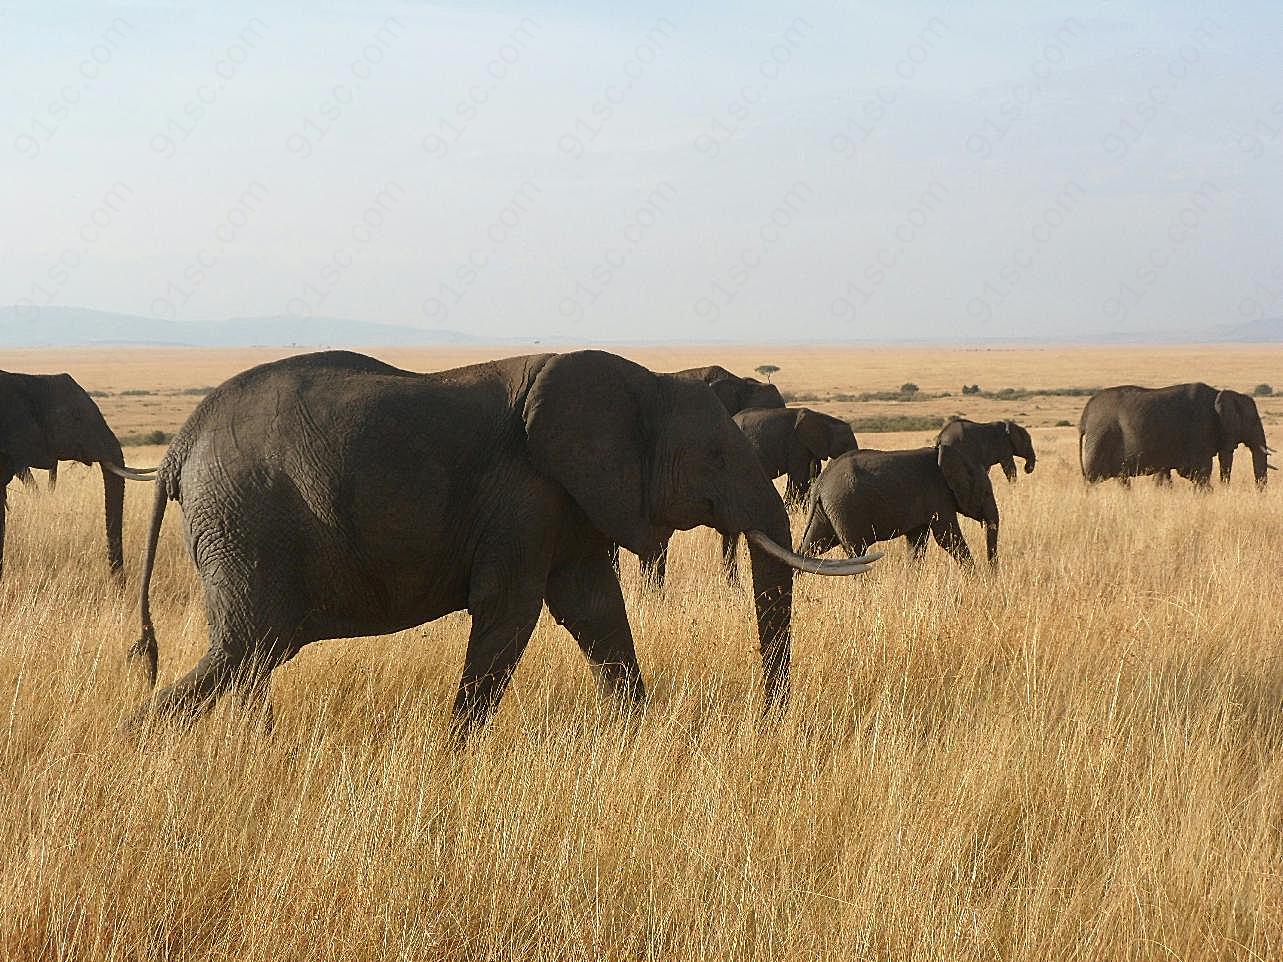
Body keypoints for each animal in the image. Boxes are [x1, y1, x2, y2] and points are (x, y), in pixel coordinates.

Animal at [125, 354, 877, 738]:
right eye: (717, 454)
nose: (771, 722)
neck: (640, 381)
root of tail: (178, 450)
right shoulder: (525, 491)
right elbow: (512, 610)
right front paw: (456, 751)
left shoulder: (565, 497)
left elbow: (594, 610)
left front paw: (636, 733)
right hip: (245, 517)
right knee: (245, 647)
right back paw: (140, 742)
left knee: (254, 654)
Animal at [795, 446, 995, 572]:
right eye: (986, 493)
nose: (992, 576)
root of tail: (820, 483)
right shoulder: (939, 497)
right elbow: (947, 538)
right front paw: (976, 580)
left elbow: (917, 542)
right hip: (844, 508)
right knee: (856, 552)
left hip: (827, 511)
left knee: (812, 546)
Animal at [1082, 384, 1272, 489]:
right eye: (1253, 420)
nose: (1258, 493)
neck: (1219, 394)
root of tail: (1085, 414)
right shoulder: (1199, 428)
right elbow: (1199, 472)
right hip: (1101, 437)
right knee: (1092, 479)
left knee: (1121, 479)